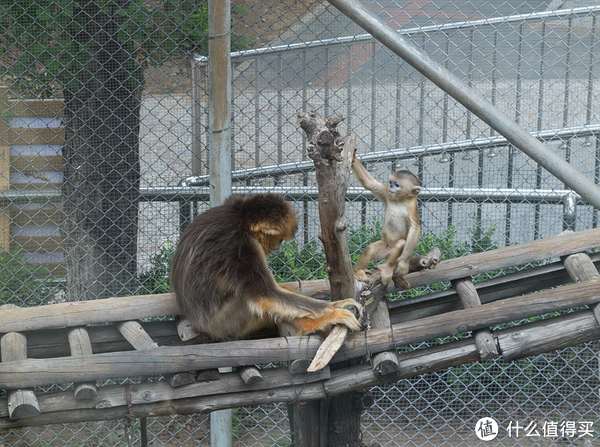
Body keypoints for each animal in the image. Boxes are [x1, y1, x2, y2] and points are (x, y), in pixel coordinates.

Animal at [352, 154, 422, 288]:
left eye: (397, 185)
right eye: (390, 183)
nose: (391, 187)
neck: (400, 199)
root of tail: (388, 249)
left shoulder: (413, 204)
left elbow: (415, 227)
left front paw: (403, 264)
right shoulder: (385, 192)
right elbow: (369, 183)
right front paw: (352, 156)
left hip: (391, 252)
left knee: (401, 243)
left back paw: (387, 267)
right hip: (383, 248)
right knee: (370, 249)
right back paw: (358, 272)